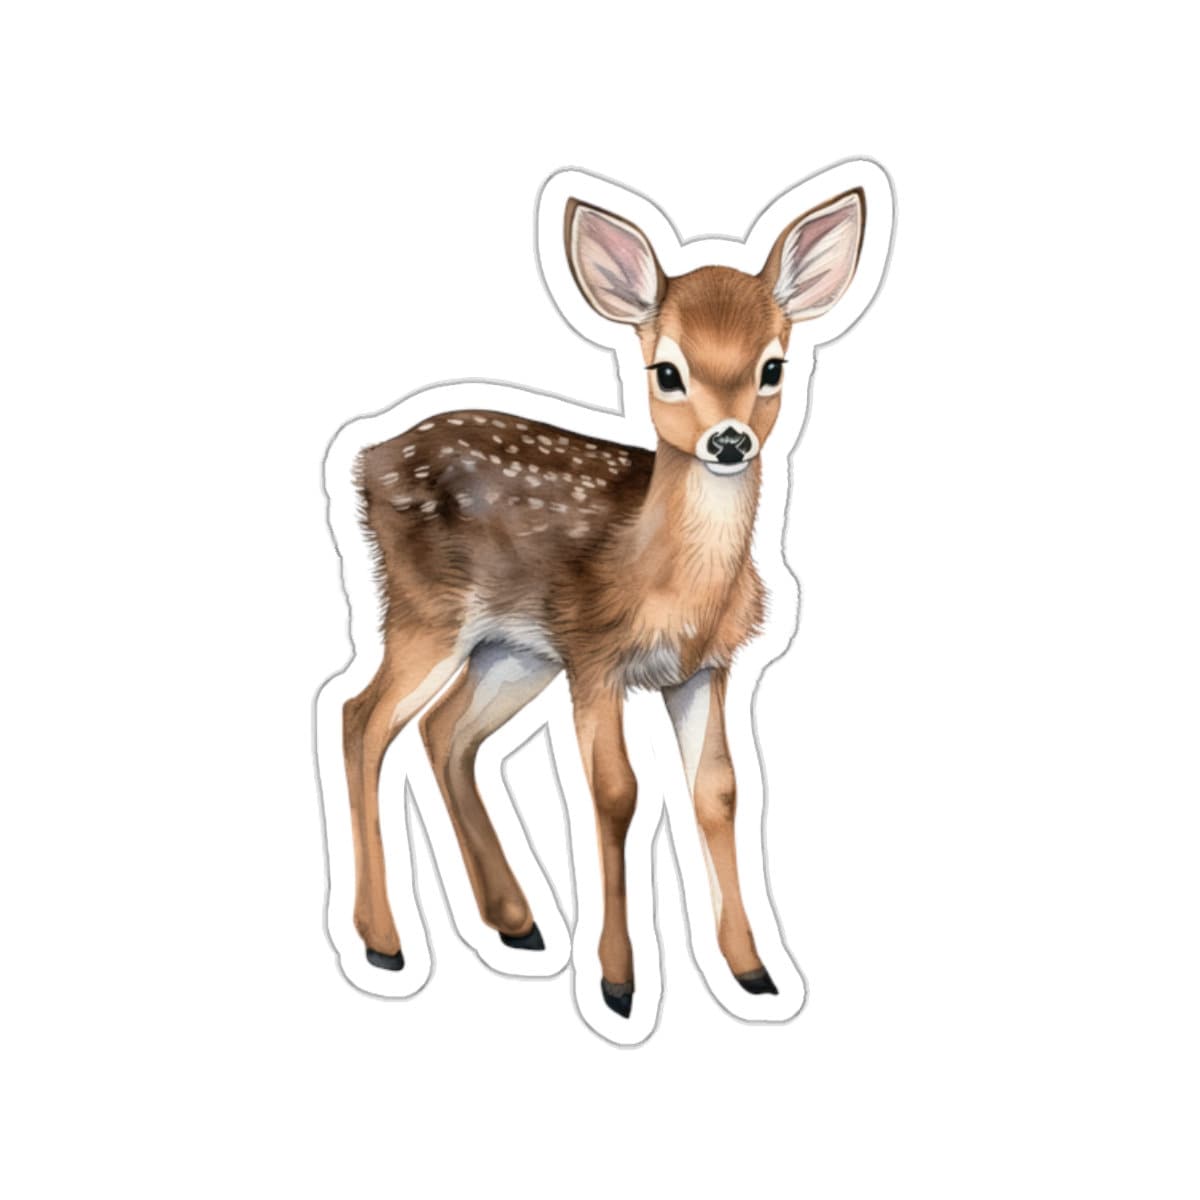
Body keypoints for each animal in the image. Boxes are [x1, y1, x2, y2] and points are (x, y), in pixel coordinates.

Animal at [331, 169, 885, 1028]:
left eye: (772, 367)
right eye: (667, 371)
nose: (730, 441)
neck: (663, 580)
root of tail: (365, 458)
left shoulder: (703, 669)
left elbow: (718, 791)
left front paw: (752, 970)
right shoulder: (596, 656)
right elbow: (616, 792)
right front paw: (618, 983)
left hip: (514, 650)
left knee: (444, 731)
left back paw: (517, 922)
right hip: (429, 610)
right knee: (361, 718)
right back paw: (384, 943)